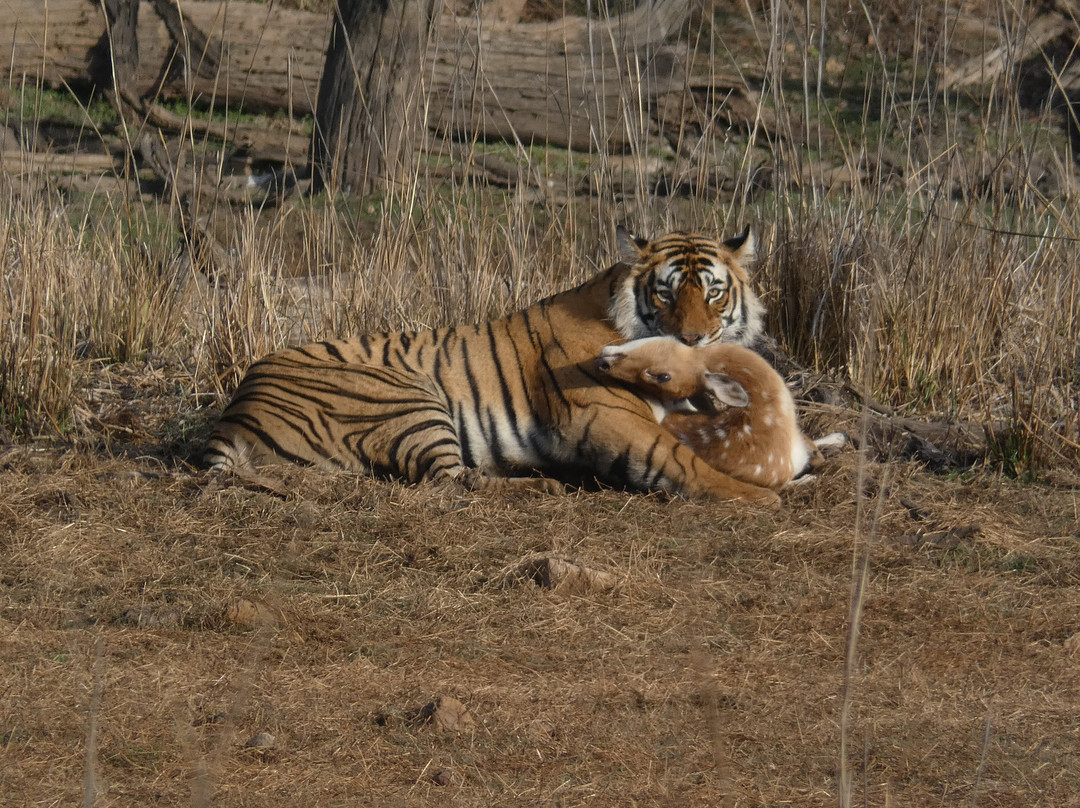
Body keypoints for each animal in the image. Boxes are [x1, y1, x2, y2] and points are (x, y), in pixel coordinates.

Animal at [202, 226, 779, 505]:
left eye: (714, 292)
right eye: (666, 293)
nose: (693, 339)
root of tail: (234, 410)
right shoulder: (608, 417)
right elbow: (680, 460)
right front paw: (760, 496)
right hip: (408, 397)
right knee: (451, 483)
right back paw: (543, 486)